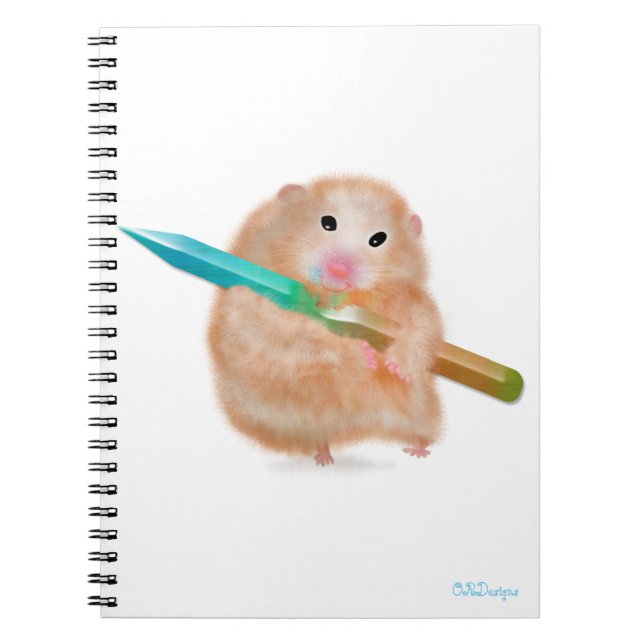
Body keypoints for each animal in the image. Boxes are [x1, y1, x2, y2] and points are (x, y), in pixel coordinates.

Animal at [207, 175, 444, 466]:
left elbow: (424, 326)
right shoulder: (252, 313)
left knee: (420, 429)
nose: (339, 269)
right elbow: (301, 340)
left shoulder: (411, 299)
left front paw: (395, 366)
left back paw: (418, 450)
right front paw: (365, 357)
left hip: (420, 409)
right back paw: (324, 458)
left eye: (378, 239)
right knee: (319, 436)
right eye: (327, 222)